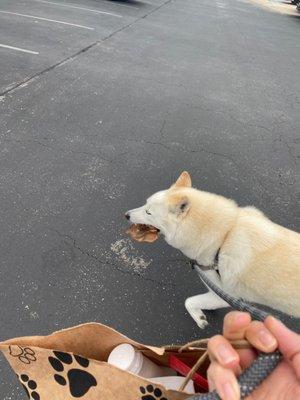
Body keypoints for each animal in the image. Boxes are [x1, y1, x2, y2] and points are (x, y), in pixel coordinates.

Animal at [126, 172, 300, 328]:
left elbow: (189, 301)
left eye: (148, 212)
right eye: (145, 204)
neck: (223, 238)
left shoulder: (225, 296)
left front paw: (199, 318)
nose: (126, 215)